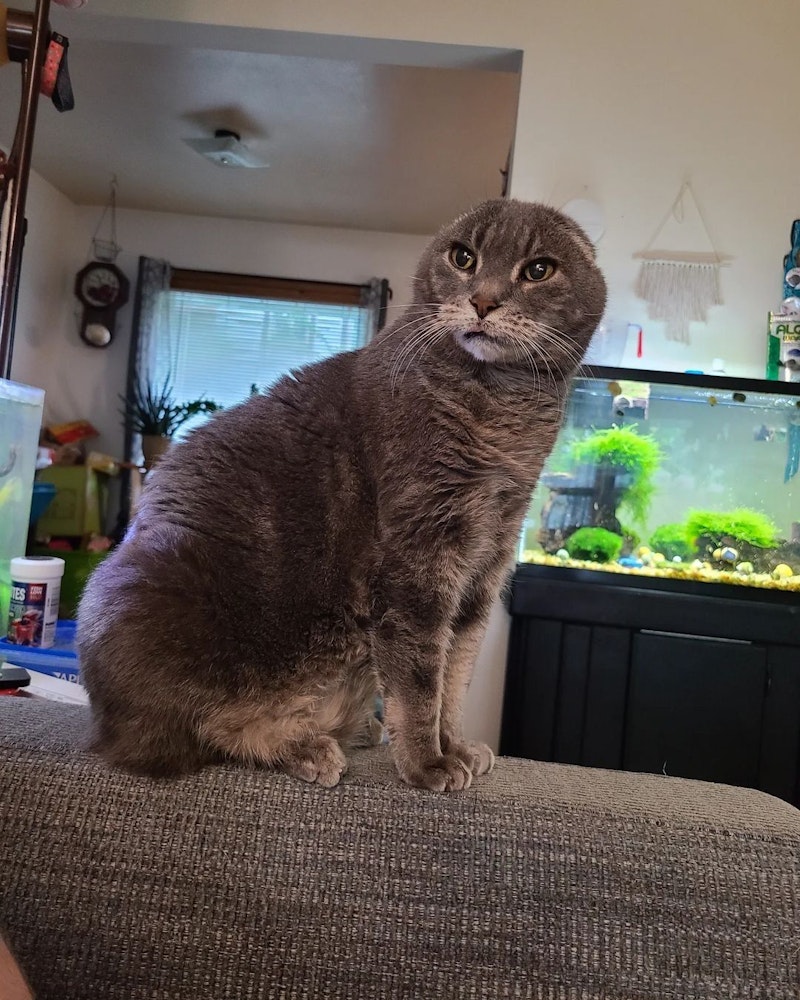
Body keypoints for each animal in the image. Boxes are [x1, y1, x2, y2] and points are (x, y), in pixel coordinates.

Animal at [77, 198, 606, 792]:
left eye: (538, 269)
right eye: (464, 257)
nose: (484, 299)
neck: (504, 418)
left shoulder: (484, 567)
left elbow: (456, 675)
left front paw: (456, 746)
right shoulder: (419, 560)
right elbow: (419, 678)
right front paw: (427, 763)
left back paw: (353, 731)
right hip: (150, 591)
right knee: (201, 728)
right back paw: (307, 746)